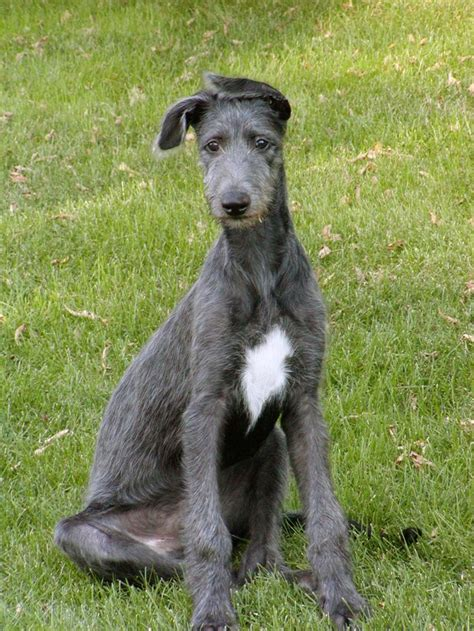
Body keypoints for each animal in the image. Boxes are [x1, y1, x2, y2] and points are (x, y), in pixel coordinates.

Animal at [54, 75, 366, 631]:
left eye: (262, 142)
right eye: (211, 146)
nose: (234, 202)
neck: (259, 274)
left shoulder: (303, 404)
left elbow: (326, 517)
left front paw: (342, 598)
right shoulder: (205, 406)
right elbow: (209, 536)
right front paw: (214, 612)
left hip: (271, 445)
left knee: (262, 552)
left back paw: (289, 578)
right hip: (84, 535)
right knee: (186, 560)